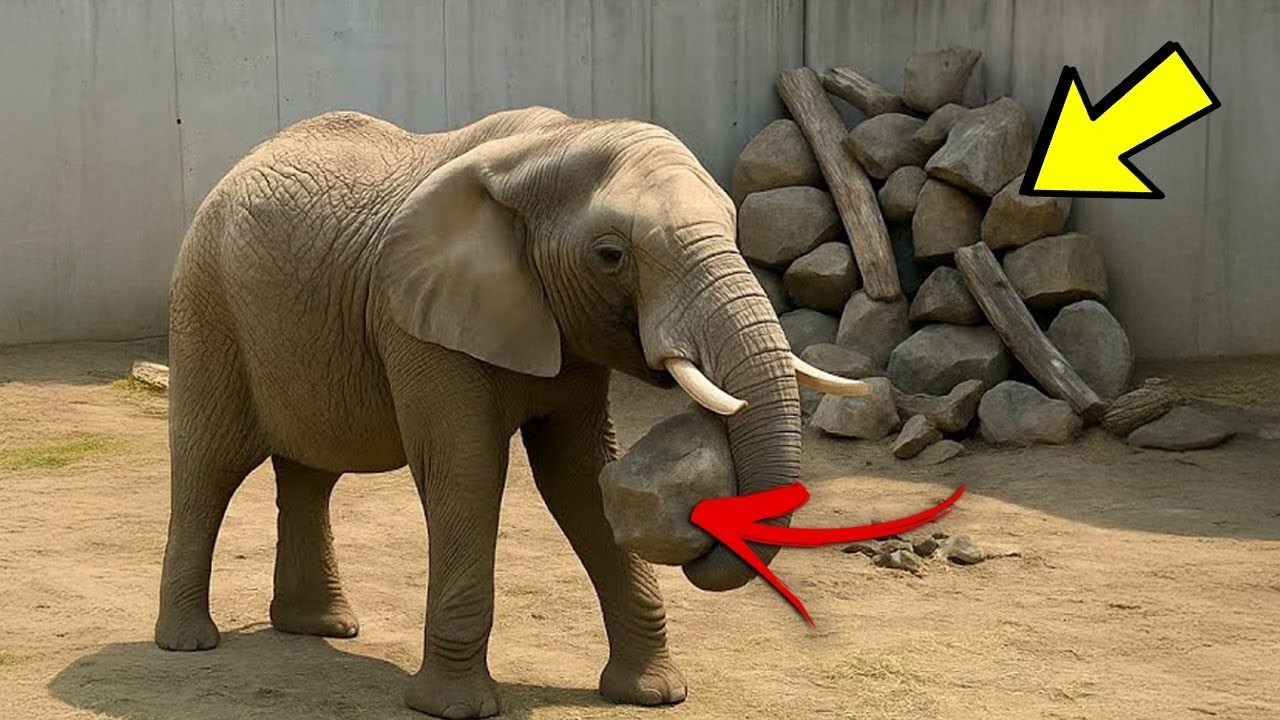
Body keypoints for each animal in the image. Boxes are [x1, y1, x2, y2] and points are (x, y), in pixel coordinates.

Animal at [154, 106, 866, 718]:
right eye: (611, 255)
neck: (551, 145)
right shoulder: (415, 321)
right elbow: (466, 471)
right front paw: (455, 708)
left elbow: (577, 478)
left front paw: (656, 695)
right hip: (206, 303)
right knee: (208, 466)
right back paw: (188, 642)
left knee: (311, 474)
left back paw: (320, 627)